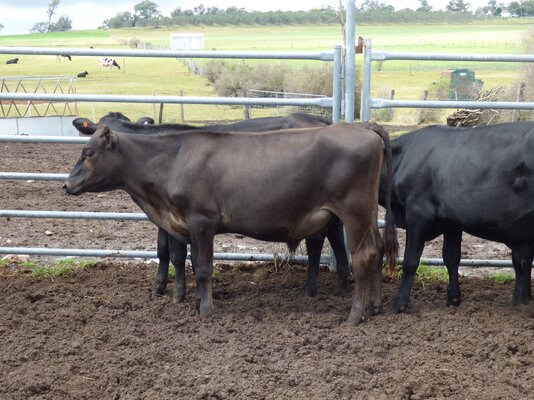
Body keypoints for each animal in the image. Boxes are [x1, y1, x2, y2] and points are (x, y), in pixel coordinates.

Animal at [65, 122, 398, 324]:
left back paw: (355, 315)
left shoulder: (201, 220)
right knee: (377, 249)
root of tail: (361, 126)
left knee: (363, 256)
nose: (67, 184)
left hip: (353, 211)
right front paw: (197, 303)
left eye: (88, 152)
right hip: (367, 214)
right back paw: (375, 306)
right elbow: (189, 262)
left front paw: (206, 310)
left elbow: (203, 267)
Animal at [382, 122, 534, 312]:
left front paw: (399, 304)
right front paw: (453, 298)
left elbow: (410, 261)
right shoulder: (451, 222)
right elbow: (451, 257)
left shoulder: (417, 214)